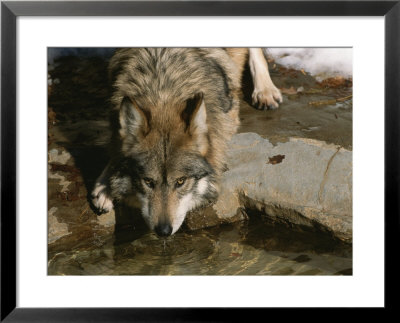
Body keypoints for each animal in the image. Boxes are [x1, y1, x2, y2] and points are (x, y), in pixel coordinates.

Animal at [92, 48, 282, 237]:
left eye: (181, 181)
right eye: (148, 182)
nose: (163, 231)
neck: (163, 89)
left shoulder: (228, 117)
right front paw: (104, 187)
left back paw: (265, 90)